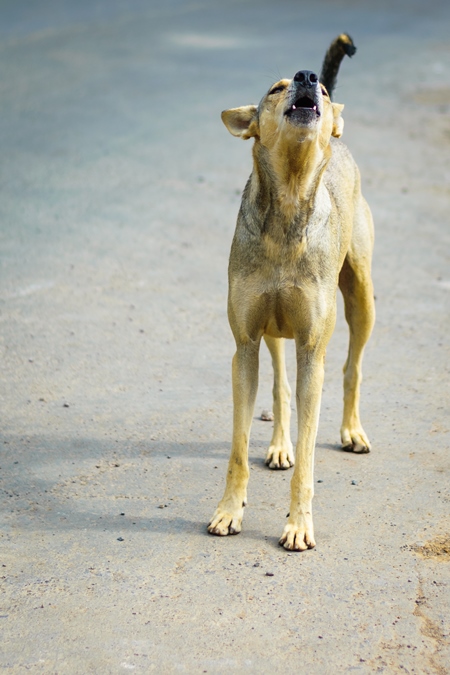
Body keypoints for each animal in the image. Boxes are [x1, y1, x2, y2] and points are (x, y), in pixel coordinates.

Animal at [209, 34, 374, 552]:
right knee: (280, 387)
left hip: (362, 297)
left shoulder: (311, 350)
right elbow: (238, 447)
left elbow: (308, 456)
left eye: (317, 89)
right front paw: (229, 511)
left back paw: (351, 431)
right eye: (276, 88)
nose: (308, 78)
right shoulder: (244, 345)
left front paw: (299, 525)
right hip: (272, 330)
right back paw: (280, 444)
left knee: (352, 367)